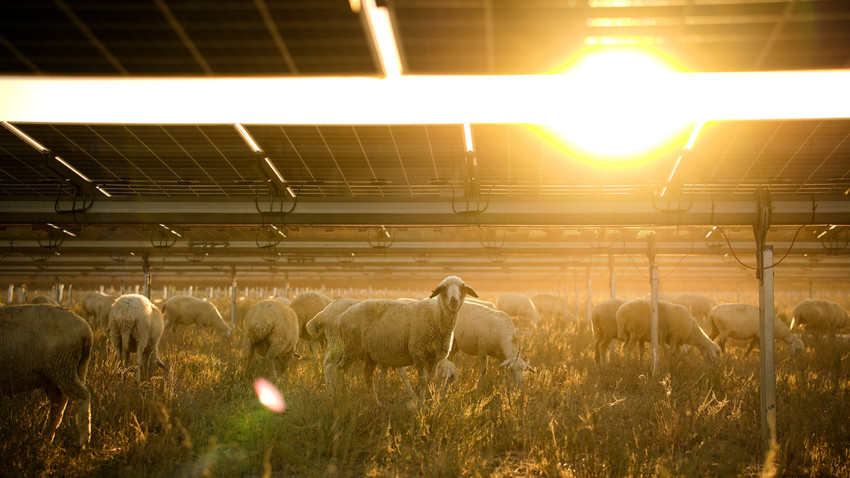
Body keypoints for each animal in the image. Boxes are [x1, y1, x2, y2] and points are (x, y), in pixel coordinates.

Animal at [0, 304, 93, 446]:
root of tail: (85, 329)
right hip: (62, 372)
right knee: (58, 403)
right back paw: (46, 438)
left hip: (63, 366)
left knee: (82, 395)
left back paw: (83, 441)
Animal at [326, 276, 474, 404]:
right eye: (443, 288)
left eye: (462, 287)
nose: (454, 301)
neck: (436, 315)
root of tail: (342, 317)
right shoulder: (418, 353)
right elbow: (423, 380)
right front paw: (421, 405)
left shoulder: (433, 358)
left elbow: (429, 380)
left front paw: (426, 401)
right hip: (351, 347)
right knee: (339, 370)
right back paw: (342, 397)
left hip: (370, 354)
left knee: (367, 375)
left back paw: (375, 403)